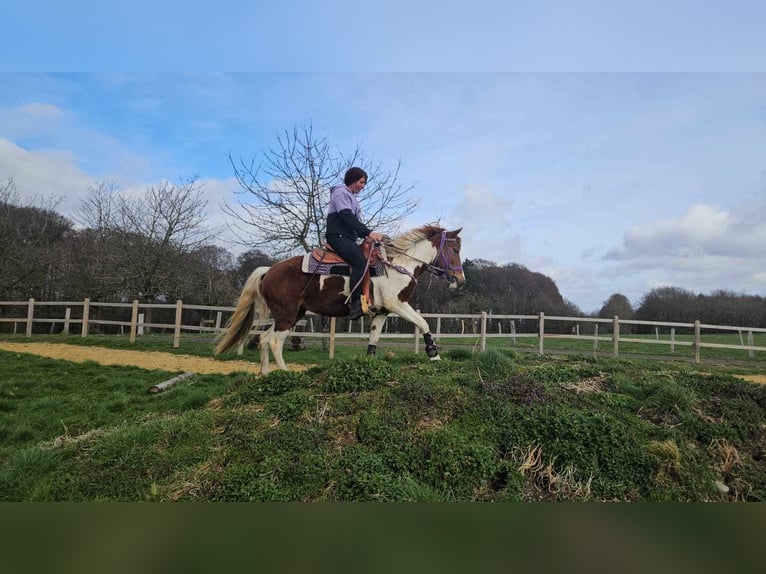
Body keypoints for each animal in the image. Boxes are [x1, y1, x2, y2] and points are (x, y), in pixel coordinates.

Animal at [215, 224, 465, 373]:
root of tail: (268, 271)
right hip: (287, 315)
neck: (398, 265)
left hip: (290, 315)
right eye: (454, 250)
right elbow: (423, 323)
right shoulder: (398, 305)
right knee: (274, 342)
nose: (460, 280)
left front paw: (368, 363)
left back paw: (266, 374)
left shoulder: (382, 312)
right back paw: (286, 374)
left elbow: (373, 340)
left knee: (264, 340)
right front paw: (434, 355)